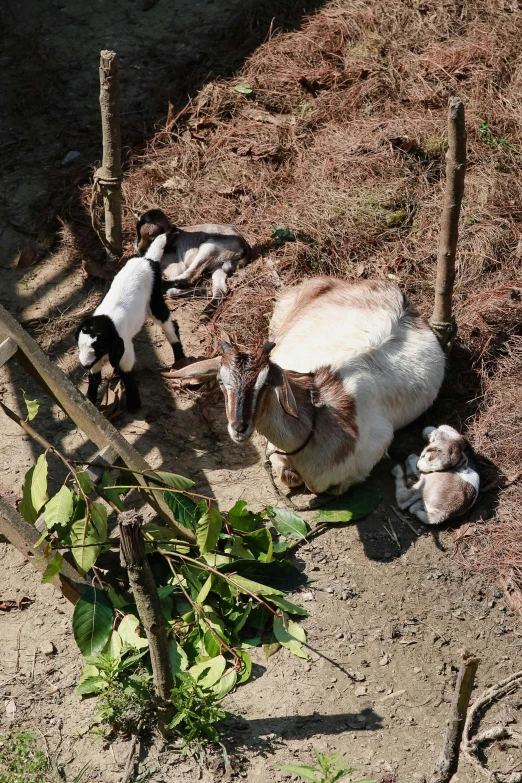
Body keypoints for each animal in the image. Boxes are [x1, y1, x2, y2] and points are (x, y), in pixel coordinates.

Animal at [75, 233, 183, 410]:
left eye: (101, 347)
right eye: (79, 345)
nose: (84, 365)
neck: (107, 321)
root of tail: (148, 260)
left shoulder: (122, 348)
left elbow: (127, 374)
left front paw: (133, 404)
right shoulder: (96, 358)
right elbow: (95, 377)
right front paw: (89, 401)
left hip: (154, 297)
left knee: (167, 323)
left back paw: (180, 360)